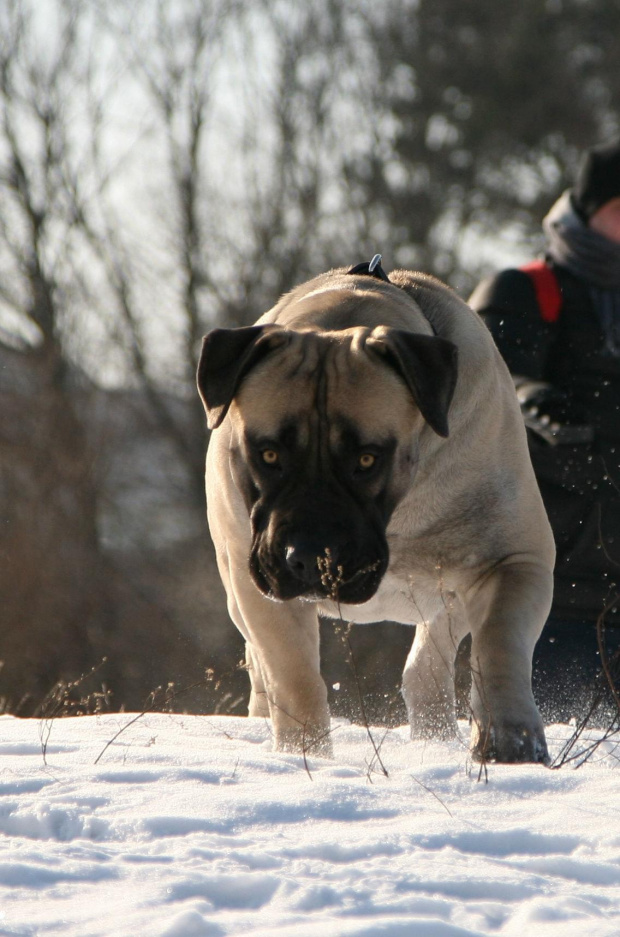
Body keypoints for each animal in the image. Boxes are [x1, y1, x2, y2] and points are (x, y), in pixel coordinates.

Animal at [196, 256, 556, 760]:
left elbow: (500, 641)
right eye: (268, 454)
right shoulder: (257, 584)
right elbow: (294, 675)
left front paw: (511, 738)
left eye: (367, 459)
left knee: (428, 668)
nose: (310, 556)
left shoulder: (512, 559)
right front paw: (308, 756)